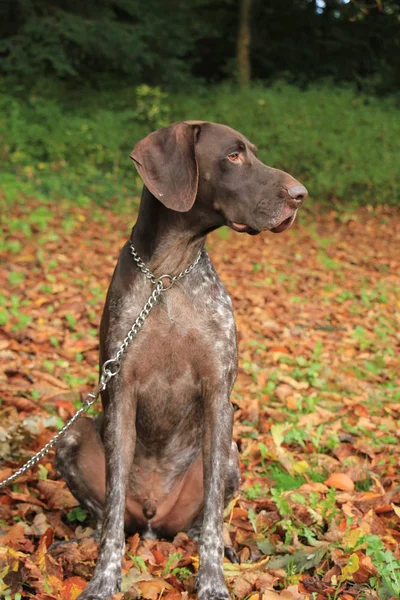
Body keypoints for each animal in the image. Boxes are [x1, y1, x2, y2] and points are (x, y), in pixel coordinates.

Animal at [55, 119, 306, 596]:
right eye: (233, 156)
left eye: (253, 152)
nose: (301, 194)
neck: (168, 275)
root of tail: (155, 518)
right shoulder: (121, 392)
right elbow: (113, 512)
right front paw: (103, 579)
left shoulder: (218, 396)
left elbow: (210, 519)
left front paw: (212, 582)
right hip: (71, 437)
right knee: (106, 514)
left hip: (229, 454)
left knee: (203, 519)